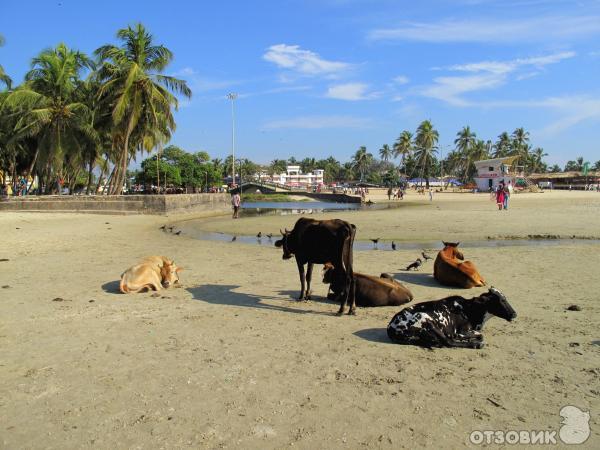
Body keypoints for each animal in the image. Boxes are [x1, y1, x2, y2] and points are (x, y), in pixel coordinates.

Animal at [386, 286, 516, 350]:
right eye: (501, 300)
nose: (514, 314)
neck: (469, 308)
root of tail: (391, 328)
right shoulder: (460, 332)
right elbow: (480, 335)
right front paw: (473, 340)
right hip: (427, 321)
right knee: (448, 342)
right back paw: (475, 344)